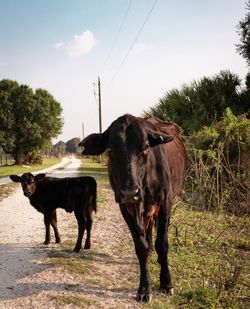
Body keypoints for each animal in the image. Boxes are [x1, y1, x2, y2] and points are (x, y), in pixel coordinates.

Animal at [79, 113, 187, 300]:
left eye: (145, 148)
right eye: (111, 150)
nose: (130, 192)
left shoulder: (166, 204)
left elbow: (162, 244)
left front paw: (166, 282)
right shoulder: (126, 207)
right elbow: (140, 246)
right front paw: (144, 288)